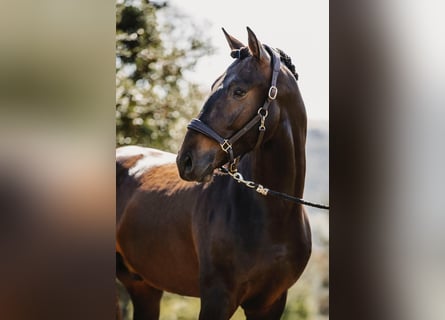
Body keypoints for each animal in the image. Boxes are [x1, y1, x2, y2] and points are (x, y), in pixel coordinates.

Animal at [116, 28, 310, 320]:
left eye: (239, 91)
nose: (186, 160)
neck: (273, 215)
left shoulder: (270, 304)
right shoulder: (217, 298)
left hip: (144, 288)